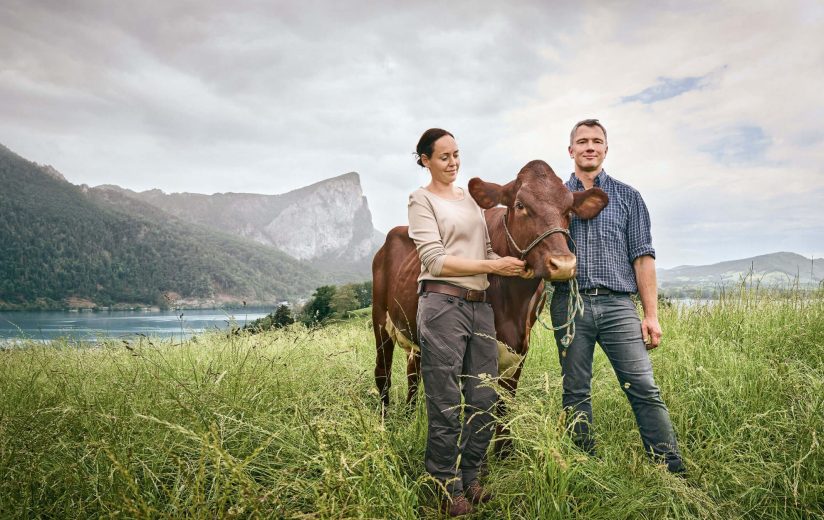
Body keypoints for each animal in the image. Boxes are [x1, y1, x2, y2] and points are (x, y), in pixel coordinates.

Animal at [372, 158, 604, 438]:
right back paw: (383, 424)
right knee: (383, 373)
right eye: (520, 205)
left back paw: (408, 415)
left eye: (569, 209)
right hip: (380, 320)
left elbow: (504, 410)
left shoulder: (518, 356)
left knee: (413, 373)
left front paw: (505, 446)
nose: (563, 264)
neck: (514, 303)